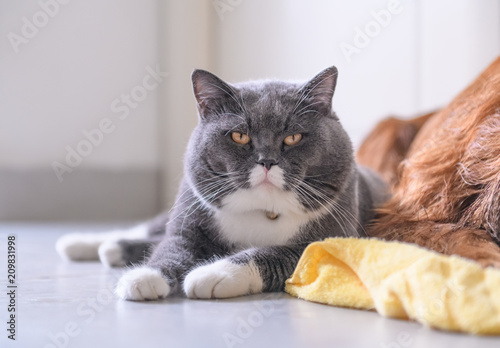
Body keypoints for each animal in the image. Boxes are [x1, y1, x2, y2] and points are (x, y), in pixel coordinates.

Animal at [56, 66, 388, 300]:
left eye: (293, 137)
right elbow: (172, 248)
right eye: (239, 136)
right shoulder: (189, 223)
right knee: (149, 230)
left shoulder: (324, 245)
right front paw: (144, 278)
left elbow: (270, 254)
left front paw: (212, 274)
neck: (263, 210)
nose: (267, 161)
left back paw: (112, 249)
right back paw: (82, 244)